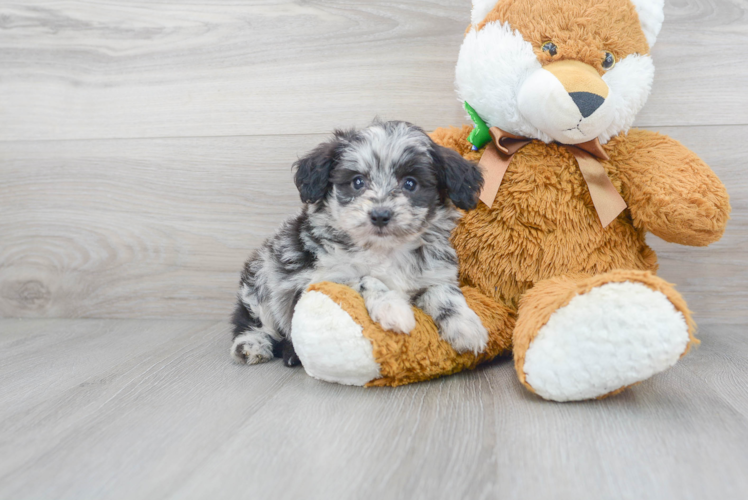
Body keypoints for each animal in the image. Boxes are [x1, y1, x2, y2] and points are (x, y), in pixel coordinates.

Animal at [231, 119, 488, 366]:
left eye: (410, 183)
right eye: (357, 182)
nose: (380, 215)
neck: (386, 250)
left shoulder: (434, 275)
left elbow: (445, 294)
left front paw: (467, 327)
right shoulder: (321, 278)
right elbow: (364, 278)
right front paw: (392, 307)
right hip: (261, 281)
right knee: (251, 320)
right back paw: (252, 346)